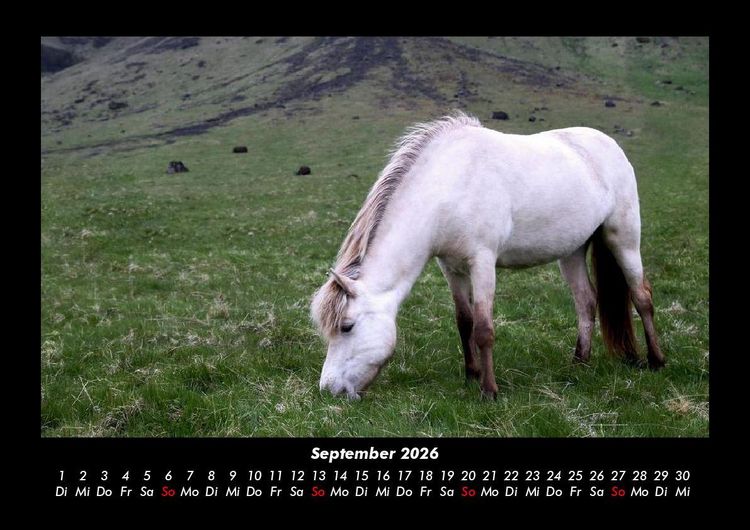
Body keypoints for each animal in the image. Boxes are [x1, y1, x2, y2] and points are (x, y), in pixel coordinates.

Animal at [311, 111, 665, 400]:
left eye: (347, 327)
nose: (329, 389)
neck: (449, 185)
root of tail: (608, 144)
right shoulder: (450, 267)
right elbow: (464, 321)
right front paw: (471, 375)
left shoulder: (482, 262)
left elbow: (483, 329)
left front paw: (489, 390)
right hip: (573, 251)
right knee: (586, 302)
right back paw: (579, 363)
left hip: (623, 238)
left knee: (641, 296)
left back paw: (656, 361)